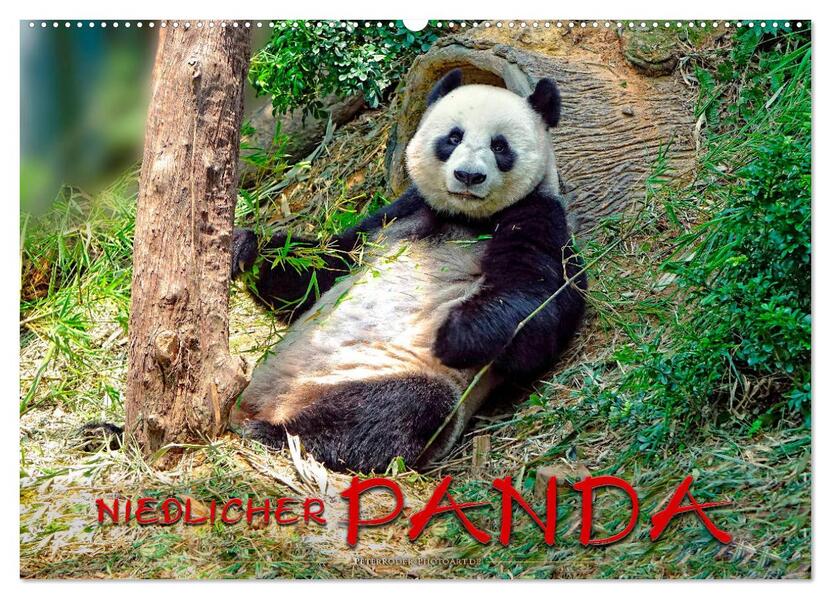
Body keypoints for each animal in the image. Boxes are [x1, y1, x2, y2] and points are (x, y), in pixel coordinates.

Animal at [230, 69, 587, 472]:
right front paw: (244, 247)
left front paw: (456, 335)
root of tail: (271, 403)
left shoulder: (538, 217)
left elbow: (538, 307)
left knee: (392, 411)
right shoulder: (397, 214)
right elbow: (322, 270)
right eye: (453, 137)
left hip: (385, 373)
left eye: (500, 146)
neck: (464, 217)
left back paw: (279, 435)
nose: (468, 176)